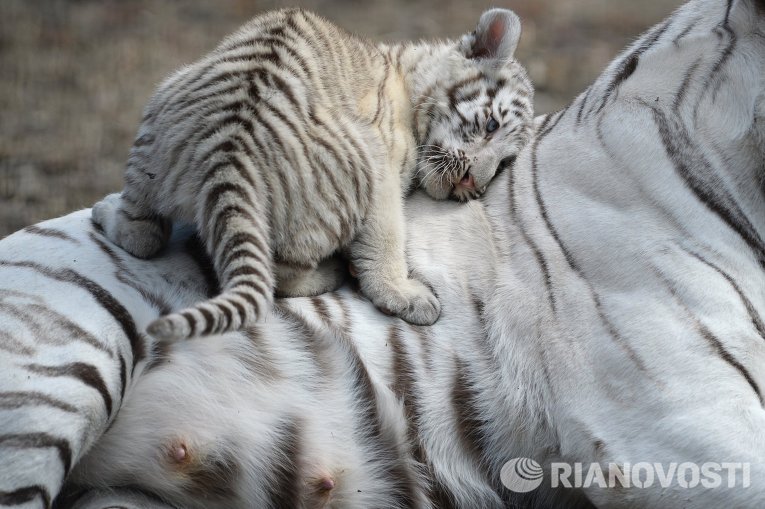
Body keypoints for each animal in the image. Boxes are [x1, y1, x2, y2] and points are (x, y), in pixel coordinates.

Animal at [1, 0, 764, 506]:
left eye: (506, 156)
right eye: (487, 128)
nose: (470, 185)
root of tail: (231, 155)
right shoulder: (674, 428)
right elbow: (386, 231)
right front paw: (405, 290)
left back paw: (121, 215)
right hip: (51, 389)